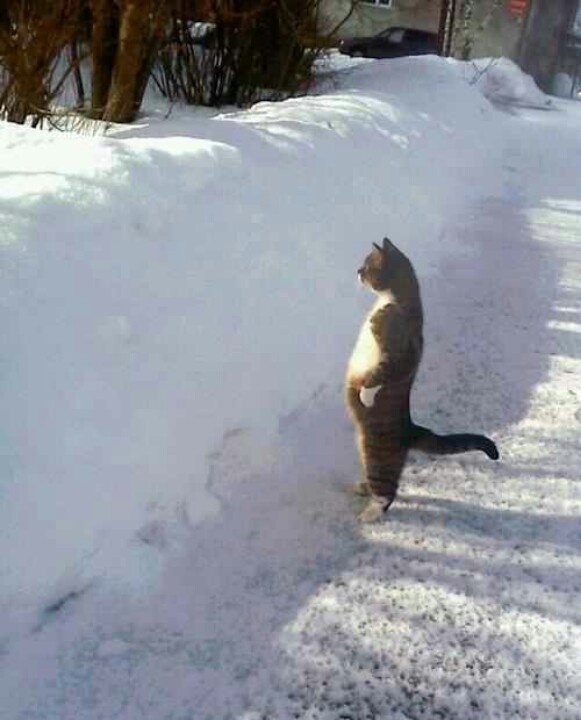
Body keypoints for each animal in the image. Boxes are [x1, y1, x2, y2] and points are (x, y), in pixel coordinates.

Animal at [344, 236, 498, 524]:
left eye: (367, 266)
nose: (356, 271)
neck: (393, 300)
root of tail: (411, 429)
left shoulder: (399, 352)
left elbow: (380, 373)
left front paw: (366, 394)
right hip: (363, 449)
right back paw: (360, 487)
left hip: (376, 454)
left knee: (387, 491)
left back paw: (370, 513)